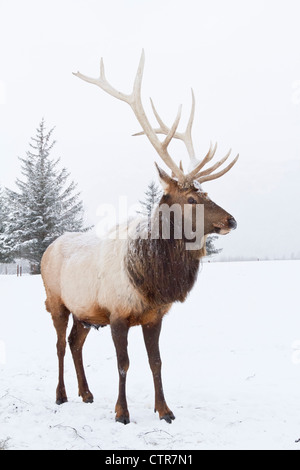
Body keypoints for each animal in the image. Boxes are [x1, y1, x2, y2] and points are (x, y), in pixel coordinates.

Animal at [41, 49, 239, 424]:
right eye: (192, 199)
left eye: (207, 193)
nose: (231, 220)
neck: (152, 279)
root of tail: (48, 248)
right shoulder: (117, 314)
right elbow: (123, 364)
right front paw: (122, 413)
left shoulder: (154, 316)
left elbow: (156, 362)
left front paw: (165, 410)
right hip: (56, 301)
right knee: (58, 344)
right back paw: (60, 395)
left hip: (85, 313)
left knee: (75, 342)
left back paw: (86, 393)